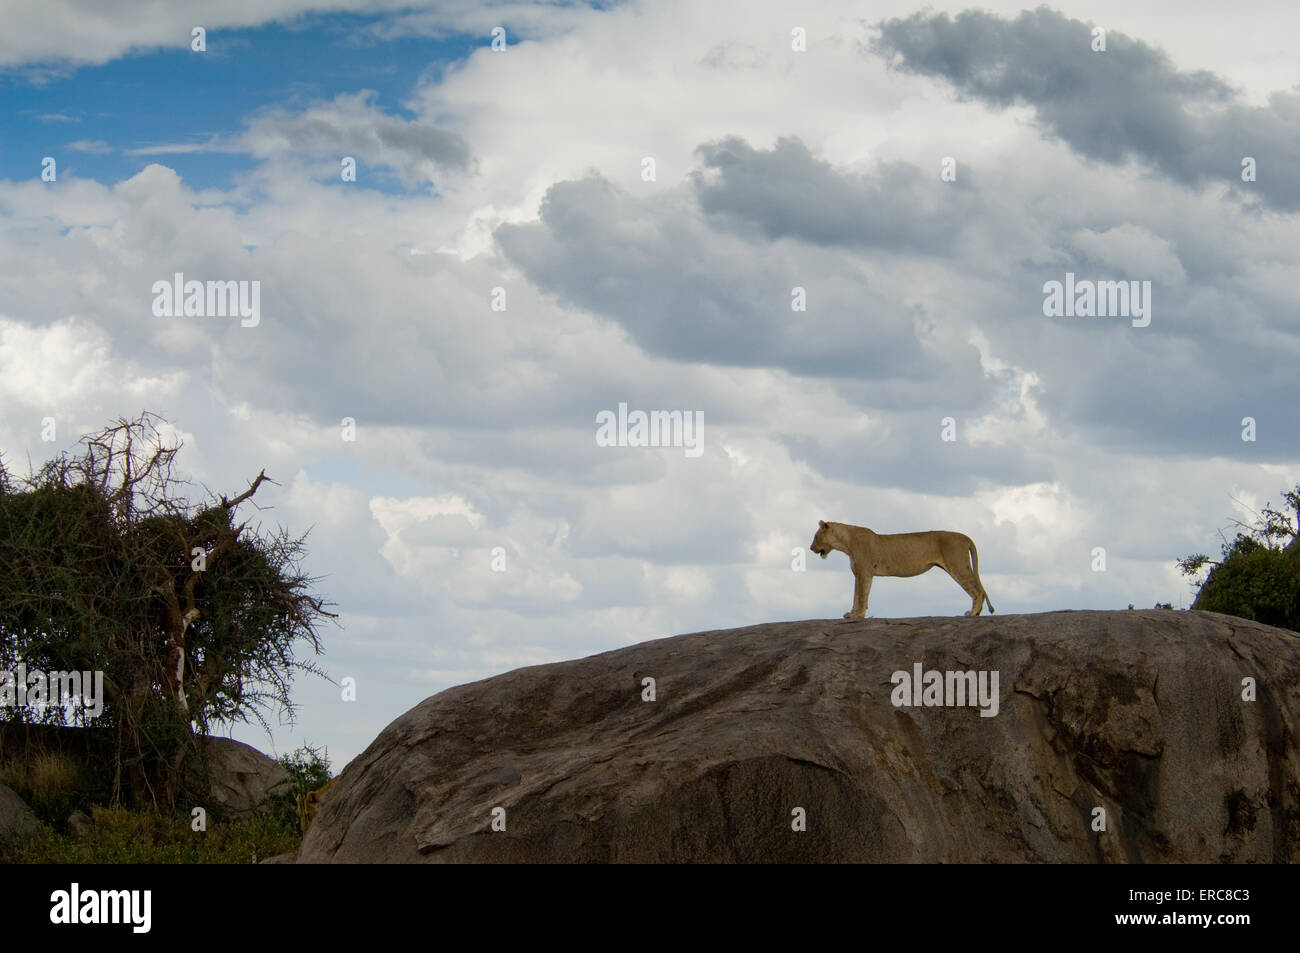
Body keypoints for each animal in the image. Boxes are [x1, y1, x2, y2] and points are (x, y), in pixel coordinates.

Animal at [811, 520, 993, 616]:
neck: (846, 543)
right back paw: (976, 613)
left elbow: (861, 595)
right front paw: (853, 614)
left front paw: (857, 615)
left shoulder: (864, 573)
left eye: (815, 536)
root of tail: (966, 537)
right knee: (979, 590)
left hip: (958, 565)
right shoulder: (862, 574)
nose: (811, 548)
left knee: (977, 591)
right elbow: (858, 594)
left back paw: (972, 613)